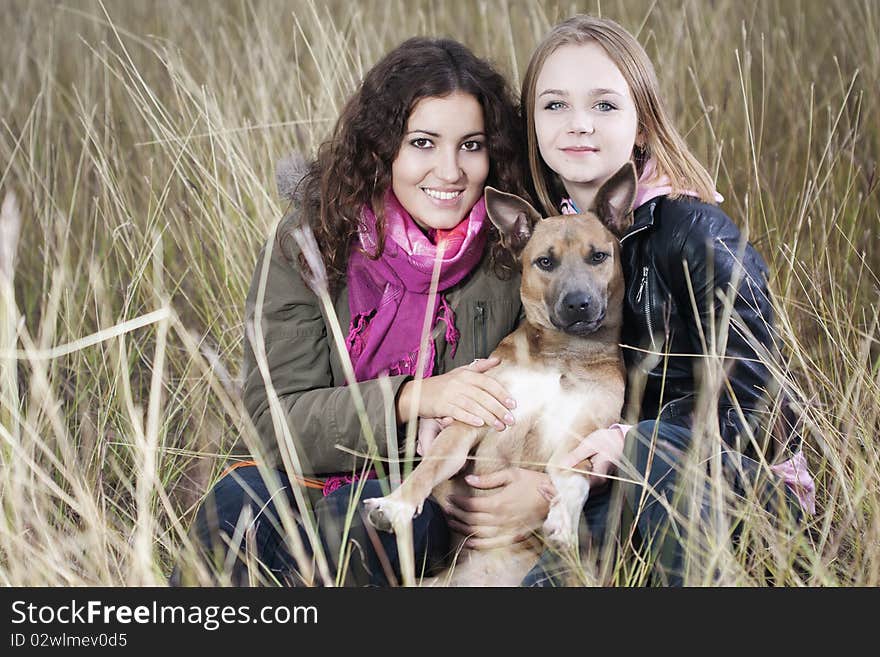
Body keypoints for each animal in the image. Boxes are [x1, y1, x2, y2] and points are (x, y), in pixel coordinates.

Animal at [360, 163, 636, 584]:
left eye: (598, 256)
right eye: (545, 262)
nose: (578, 304)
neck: (563, 354)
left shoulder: (585, 432)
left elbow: (572, 473)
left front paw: (563, 519)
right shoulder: (473, 419)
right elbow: (430, 467)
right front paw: (396, 505)